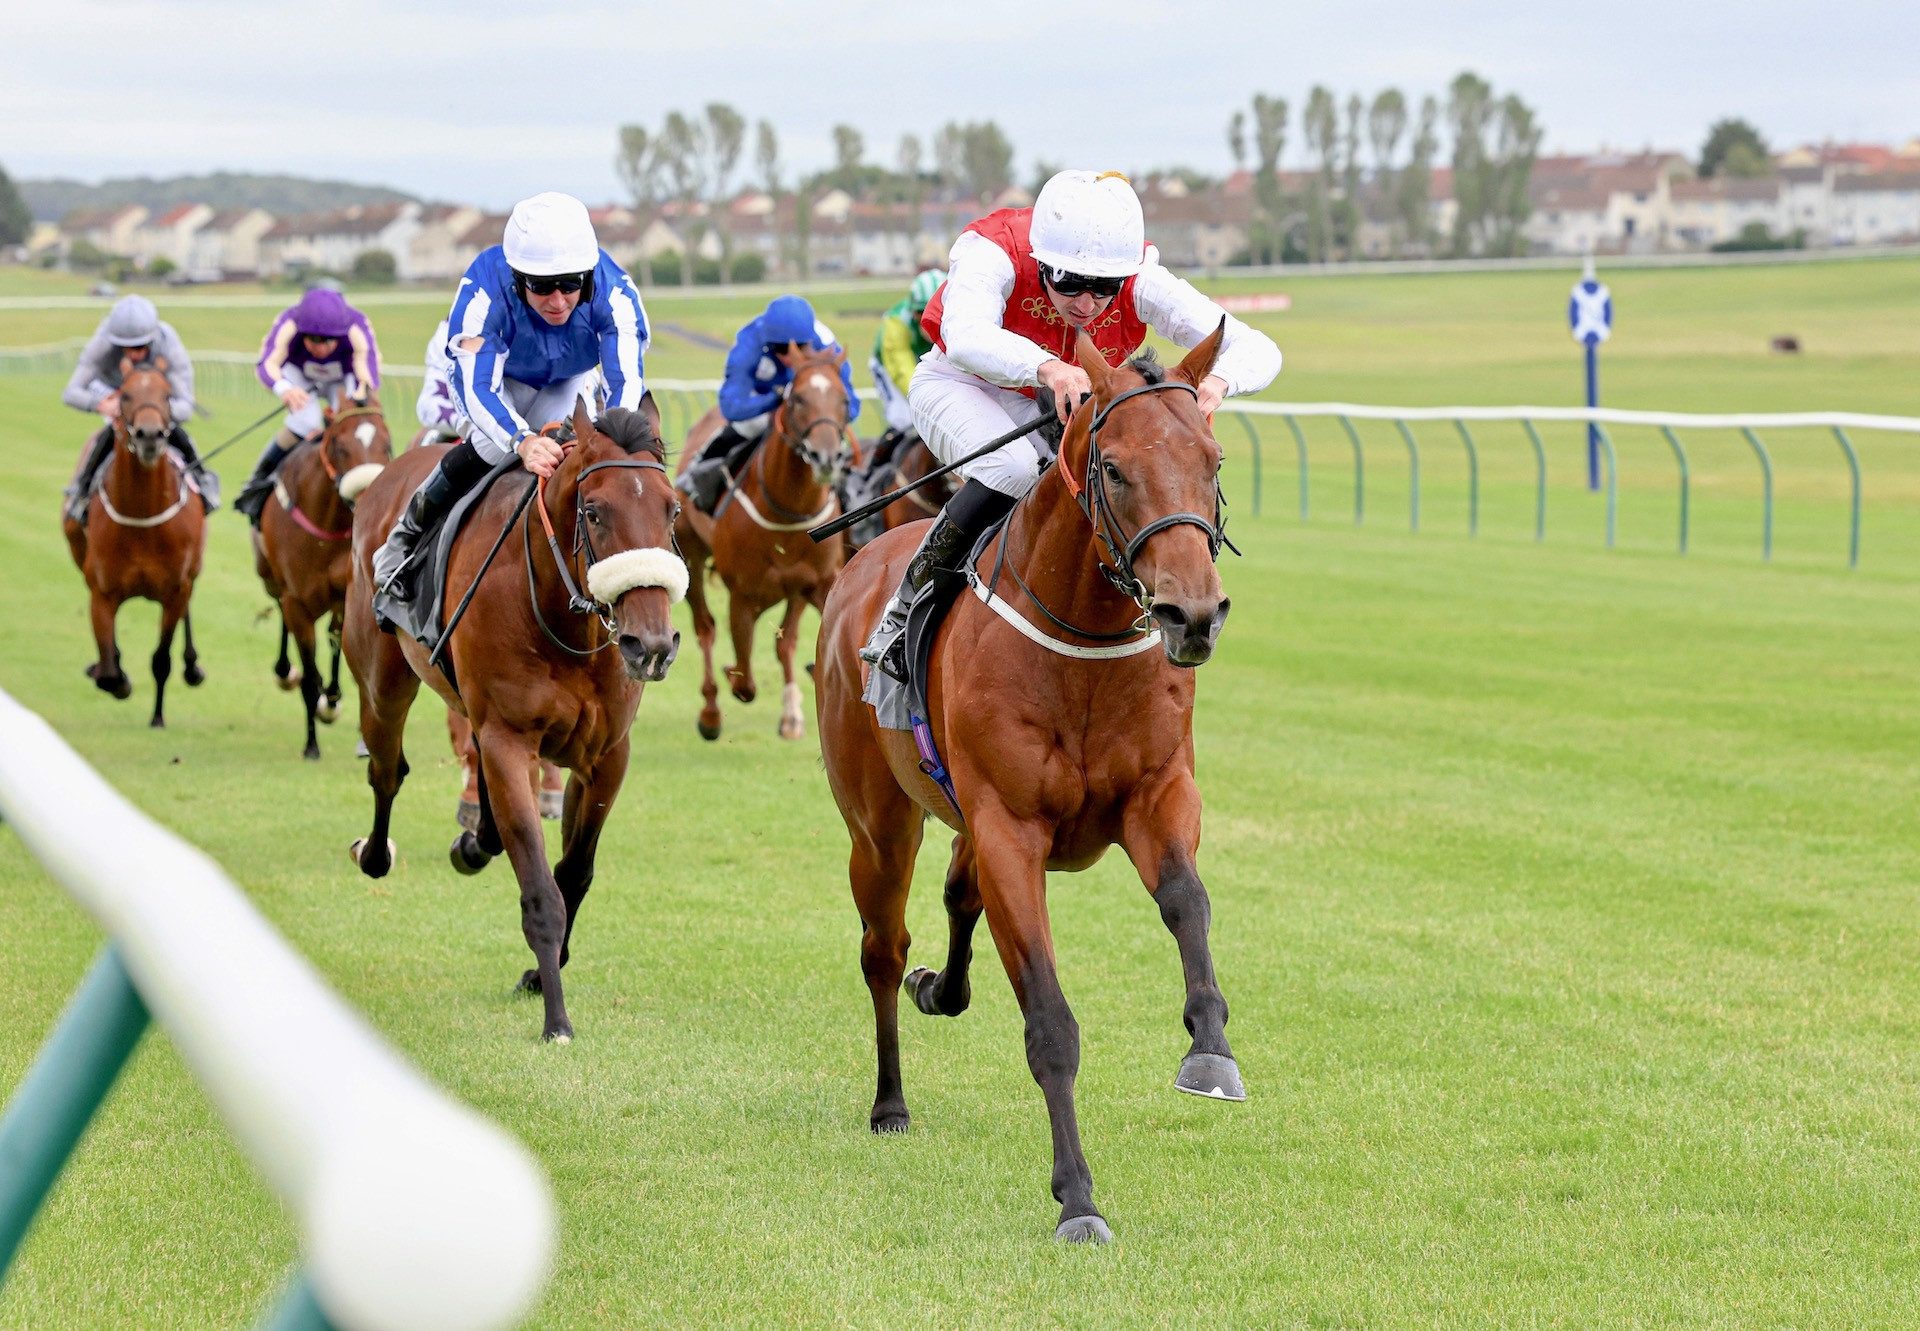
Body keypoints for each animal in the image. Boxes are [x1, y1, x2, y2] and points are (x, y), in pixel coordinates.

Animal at [63, 355, 208, 726]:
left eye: (168, 395)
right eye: (125, 395)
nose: (149, 435)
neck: (143, 520)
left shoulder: (175, 591)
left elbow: (161, 659)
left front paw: (157, 717)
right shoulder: (102, 593)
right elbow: (108, 669)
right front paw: (116, 679)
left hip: (193, 571)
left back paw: (192, 667)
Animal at [253, 391, 391, 756]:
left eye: (386, 443)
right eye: (340, 446)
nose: (369, 495)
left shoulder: (343, 596)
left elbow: (335, 649)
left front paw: (331, 702)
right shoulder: (297, 601)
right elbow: (310, 675)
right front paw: (311, 744)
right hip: (271, 580)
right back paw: (284, 672)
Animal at [347, 391, 691, 1037]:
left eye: (672, 510)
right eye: (593, 511)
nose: (651, 645)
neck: (564, 621)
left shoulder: (605, 754)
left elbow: (574, 872)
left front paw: (539, 973)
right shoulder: (509, 740)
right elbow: (540, 891)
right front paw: (556, 1018)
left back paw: (476, 840)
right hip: (382, 681)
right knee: (385, 769)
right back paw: (376, 853)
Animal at [675, 341, 856, 737]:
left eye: (844, 400)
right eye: (798, 398)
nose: (826, 456)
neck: (787, 510)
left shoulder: (820, 582)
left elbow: (792, 643)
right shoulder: (742, 597)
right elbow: (744, 681)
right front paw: (729, 677)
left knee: (785, 642)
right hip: (691, 556)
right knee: (704, 628)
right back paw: (710, 712)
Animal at [814, 324, 1244, 1244]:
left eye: (1213, 458)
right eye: (1113, 467)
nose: (1193, 614)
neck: (1080, 643)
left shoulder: (1157, 795)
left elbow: (1187, 903)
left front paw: (1210, 1050)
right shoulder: (1011, 829)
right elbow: (1049, 1022)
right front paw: (1078, 1198)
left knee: (956, 893)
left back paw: (940, 988)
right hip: (880, 824)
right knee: (882, 947)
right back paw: (891, 1098)